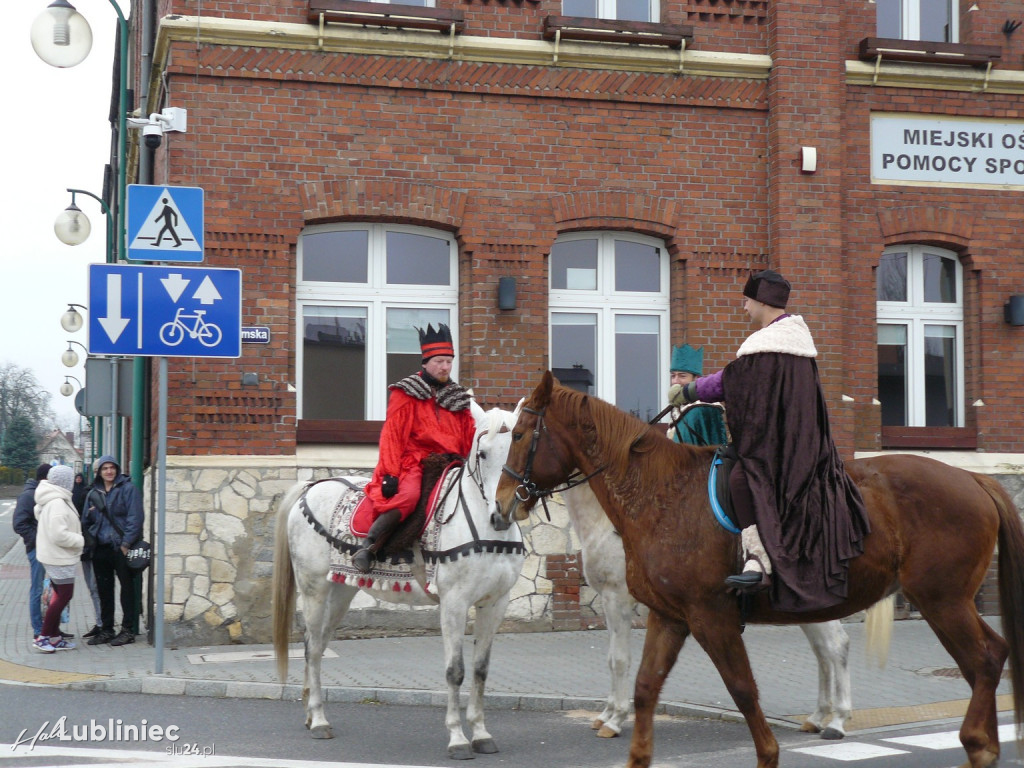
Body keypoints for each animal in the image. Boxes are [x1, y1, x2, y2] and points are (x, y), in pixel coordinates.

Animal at [272, 405, 524, 761]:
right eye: (483, 453)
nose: (501, 514)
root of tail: (311, 487)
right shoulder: (454, 604)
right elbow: (456, 671)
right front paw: (458, 739)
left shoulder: (495, 604)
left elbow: (480, 670)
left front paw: (481, 733)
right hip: (314, 590)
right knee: (311, 649)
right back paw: (319, 719)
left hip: (341, 592)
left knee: (317, 644)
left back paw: (311, 715)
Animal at [557, 483, 851, 741]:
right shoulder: (611, 604)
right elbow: (610, 659)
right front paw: (605, 715)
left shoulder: (616, 600)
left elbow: (618, 660)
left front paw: (615, 720)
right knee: (822, 652)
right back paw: (816, 718)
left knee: (836, 646)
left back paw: (837, 722)